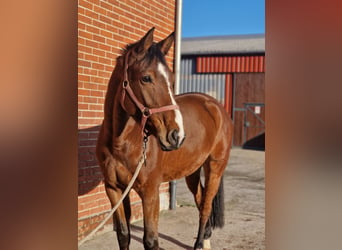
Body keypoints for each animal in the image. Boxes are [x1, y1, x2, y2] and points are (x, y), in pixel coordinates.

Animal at [97, 27, 234, 250]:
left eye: (171, 79)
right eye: (146, 78)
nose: (176, 136)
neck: (121, 143)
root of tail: (215, 105)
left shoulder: (150, 191)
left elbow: (151, 240)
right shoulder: (115, 190)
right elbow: (124, 235)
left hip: (215, 166)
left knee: (206, 206)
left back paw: (199, 243)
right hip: (192, 170)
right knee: (200, 198)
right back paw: (206, 238)